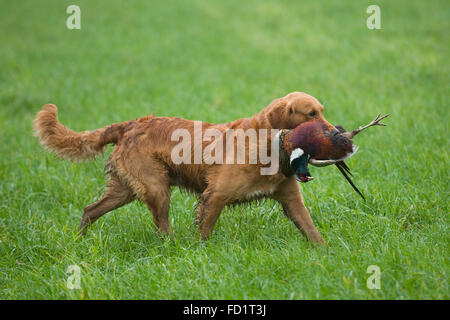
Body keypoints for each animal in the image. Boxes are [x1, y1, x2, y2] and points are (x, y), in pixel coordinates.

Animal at [34, 91, 330, 244]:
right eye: (311, 114)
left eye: (322, 111)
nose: (335, 132)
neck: (267, 144)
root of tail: (129, 124)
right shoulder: (215, 196)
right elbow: (205, 230)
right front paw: (202, 252)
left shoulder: (291, 199)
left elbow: (311, 230)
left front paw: (325, 254)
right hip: (156, 188)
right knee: (161, 225)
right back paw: (173, 247)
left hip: (124, 190)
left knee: (90, 210)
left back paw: (79, 240)